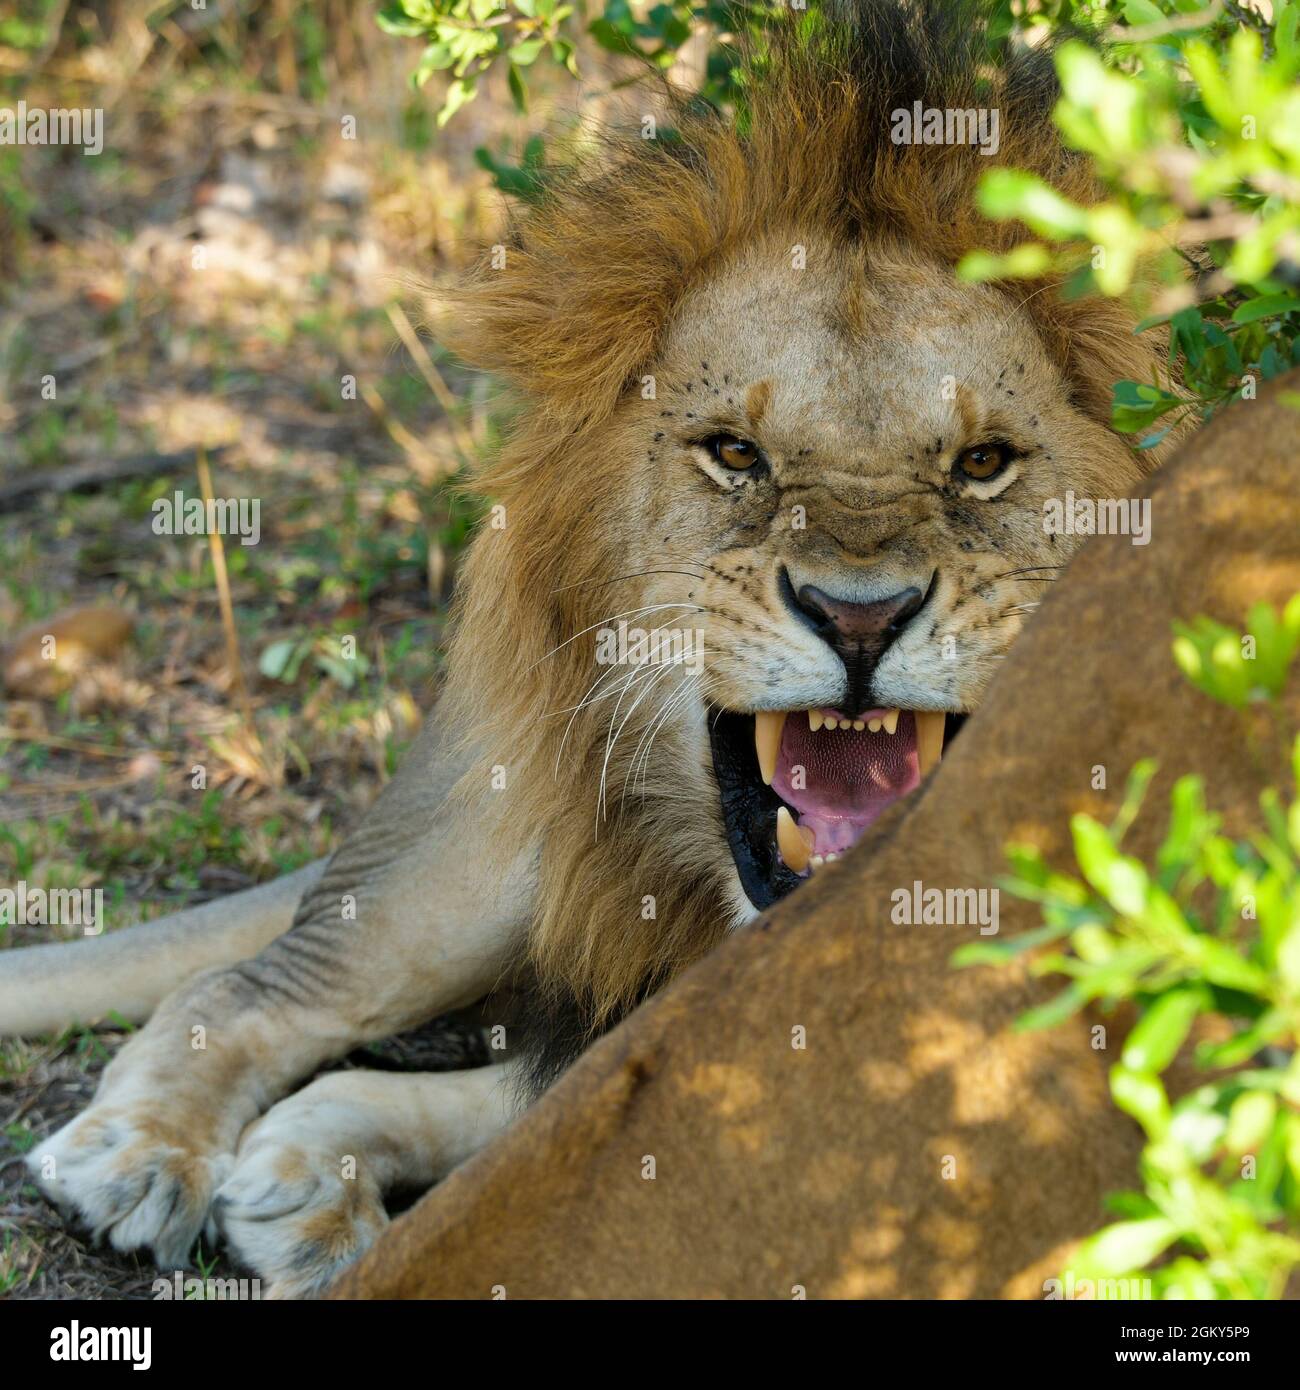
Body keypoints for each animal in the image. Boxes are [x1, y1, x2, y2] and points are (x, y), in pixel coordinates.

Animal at [1, 0, 1181, 1297]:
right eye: (734, 453)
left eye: (982, 464)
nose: (858, 616)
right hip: (488, 841)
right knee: (265, 982)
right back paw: (141, 1152)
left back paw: (304, 1181)